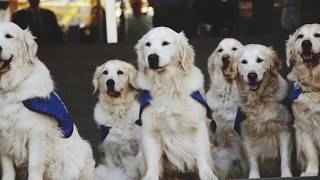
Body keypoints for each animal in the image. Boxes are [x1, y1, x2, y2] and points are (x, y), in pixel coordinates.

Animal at [0, 22, 95, 180]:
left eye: (9, 36)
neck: (9, 89)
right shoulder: (4, 136)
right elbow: (7, 168)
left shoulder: (36, 134)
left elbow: (34, 165)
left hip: (78, 153)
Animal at [135, 26, 218, 180]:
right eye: (147, 44)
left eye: (165, 43)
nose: (152, 57)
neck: (167, 85)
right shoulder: (151, 129)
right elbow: (153, 160)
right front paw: (150, 176)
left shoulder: (197, 125)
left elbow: (201, 154)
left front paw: (207, 174)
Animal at [235, 44, 292, 179]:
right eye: (243, 62)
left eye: (259, 60)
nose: (252, 75)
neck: (260, 100)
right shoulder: (247, 133)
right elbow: (253, 160)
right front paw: (254, 176)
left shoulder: (283, 130)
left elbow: (284, 157)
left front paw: (286, 174)